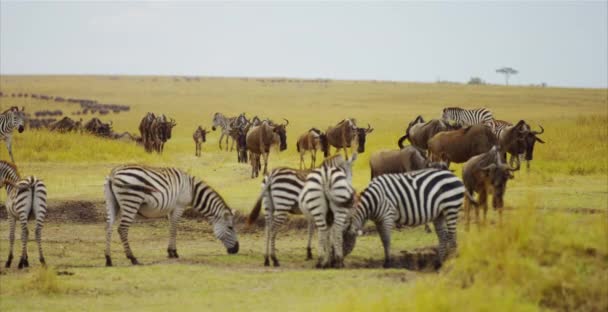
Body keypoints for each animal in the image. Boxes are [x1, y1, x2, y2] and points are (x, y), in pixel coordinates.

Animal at [103, 165, 239, 266]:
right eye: (230, 227)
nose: (236, 249)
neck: (192, 191)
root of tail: (113, 174)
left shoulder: (171, 209)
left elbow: (170, 228)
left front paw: (169, 251)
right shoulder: (179, 206)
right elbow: (174, 229)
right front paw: (174, 252)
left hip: (112, 203)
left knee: (108, 228)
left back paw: (108, 259)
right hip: (131, 201)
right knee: (122, 229)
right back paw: (132, 258)